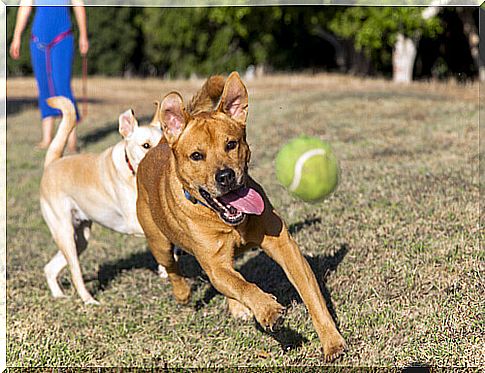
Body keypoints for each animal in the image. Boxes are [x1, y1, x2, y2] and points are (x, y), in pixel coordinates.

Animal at [136, 71, 344, 358]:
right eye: (196, 155)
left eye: (231, 144)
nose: (225, 176)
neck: (228, 222)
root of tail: (159, 144)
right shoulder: (214, 263)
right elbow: (242, 285)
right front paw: (268, 310)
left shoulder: (283, 245)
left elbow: (310, 294)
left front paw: (331, 341)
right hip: (159, 241)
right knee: (173, 267)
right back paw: (183, 293)